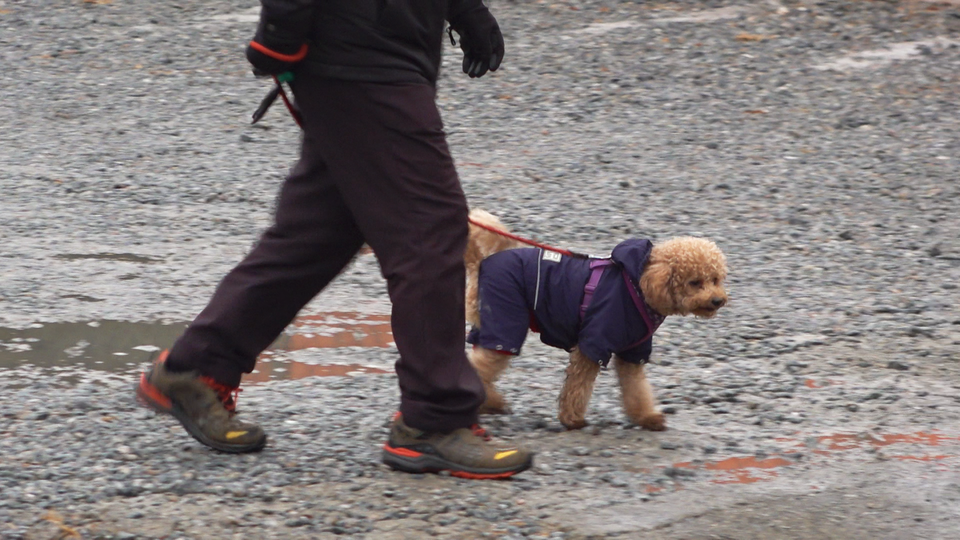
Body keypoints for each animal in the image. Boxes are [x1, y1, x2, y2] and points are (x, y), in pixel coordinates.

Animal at [464, 210, 728, 430]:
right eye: (695, 282)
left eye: (715, 279)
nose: (717, 300)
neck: (639, 285)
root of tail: (481, 263)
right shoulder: (593, 342)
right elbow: (578, 387)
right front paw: (572, 419)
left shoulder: (633, 351)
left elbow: (636, 388)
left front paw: (647, 417)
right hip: (506, 321)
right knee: (483, 363)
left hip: (489, 324)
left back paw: (489, 402)